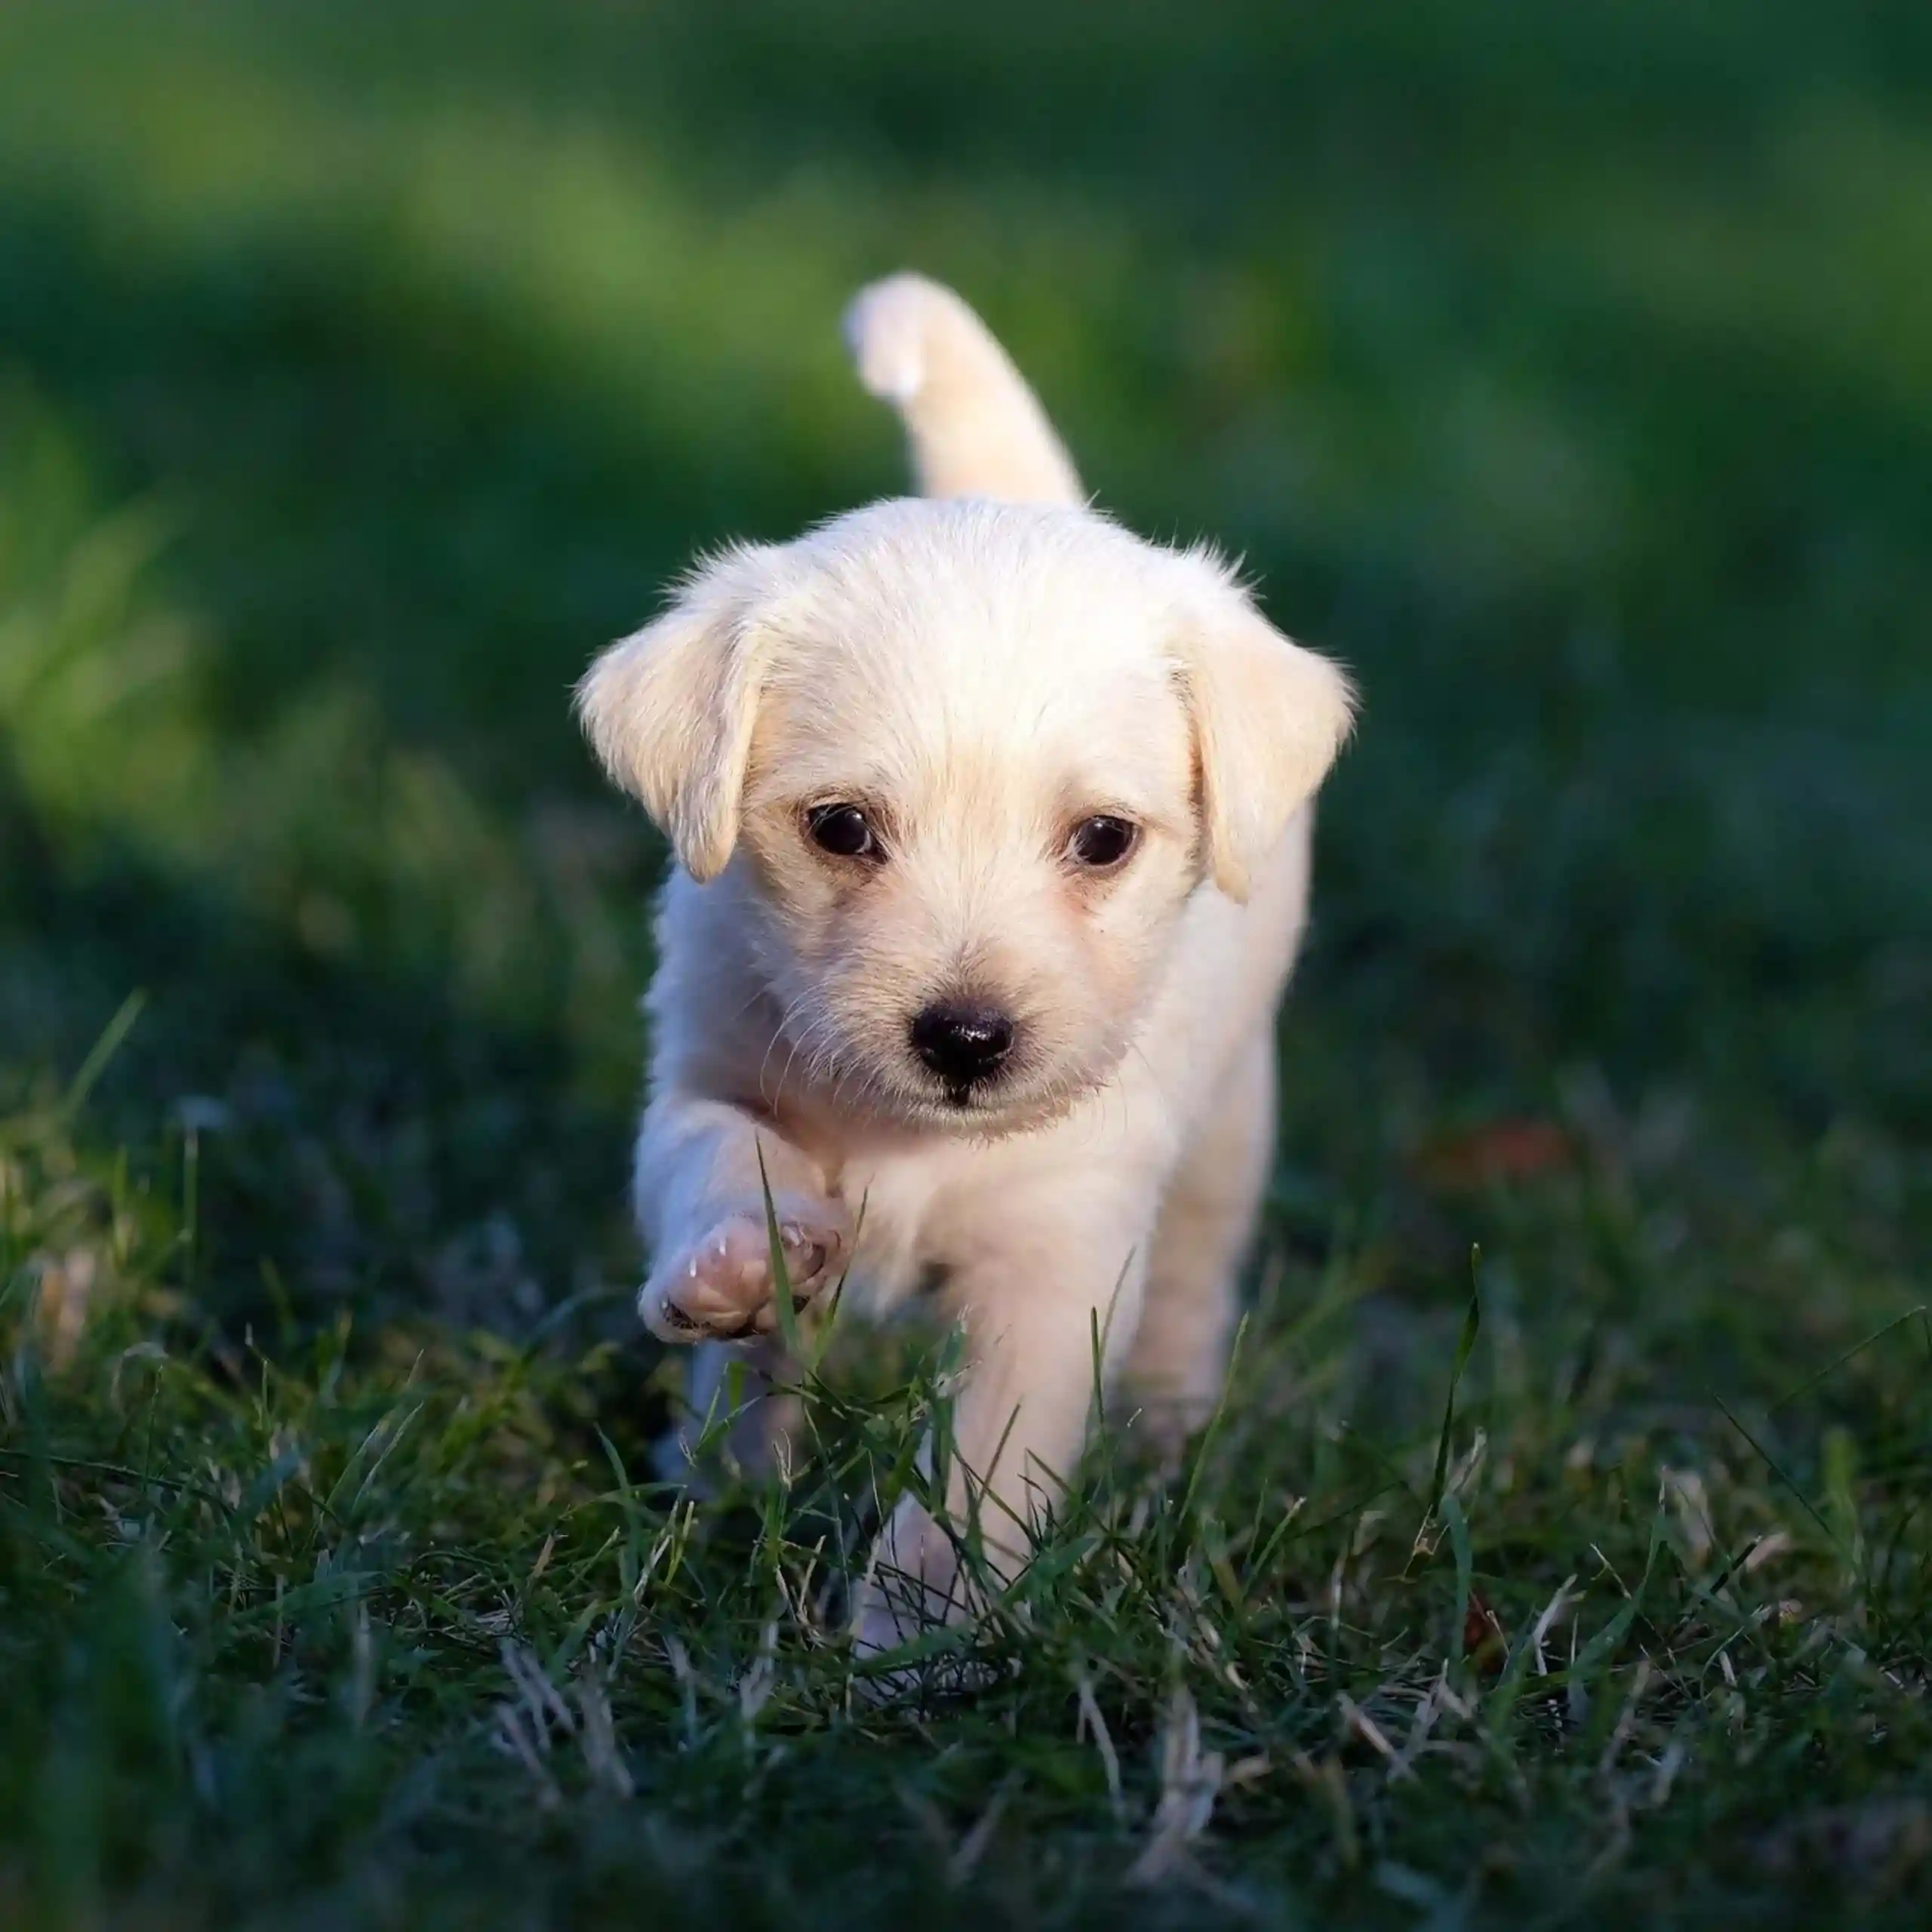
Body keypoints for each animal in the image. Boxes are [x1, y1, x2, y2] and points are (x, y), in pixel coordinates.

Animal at [580, 272, 1352, 1654]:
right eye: (840, 828)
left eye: (1103, 840)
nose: (967, 1039)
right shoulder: (706, 1071)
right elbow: (721, 1161)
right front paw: (737, 1268)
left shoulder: (1058, 1267)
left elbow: (980, 1473)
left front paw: (919, 1640)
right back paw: (716, 1469)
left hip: (1230, 1132)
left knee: (1195, 1282)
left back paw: (1164, 1434)